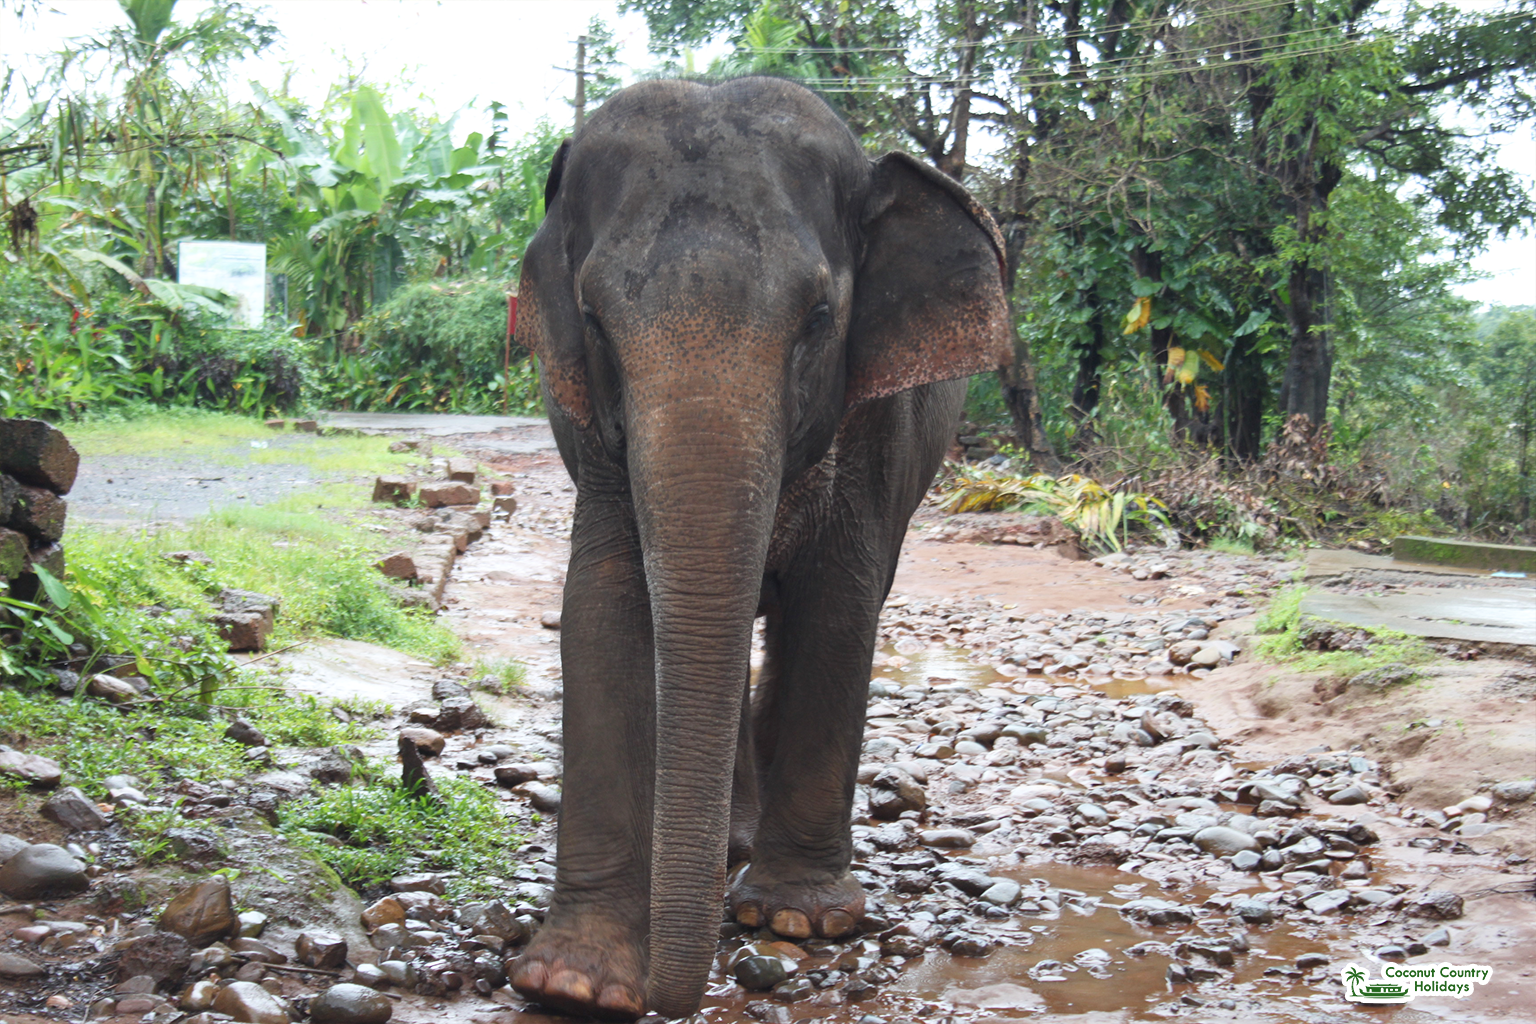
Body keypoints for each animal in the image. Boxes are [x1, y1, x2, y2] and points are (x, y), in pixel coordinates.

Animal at [510, 76, 1012, 1020]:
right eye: (594, 320)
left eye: (818, 316)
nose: (666, 999)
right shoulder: (591, 432)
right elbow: (601, 605)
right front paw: (575, 982)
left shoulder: (876, 423)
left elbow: (839, 608)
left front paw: (796, 919)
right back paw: (733, 843)